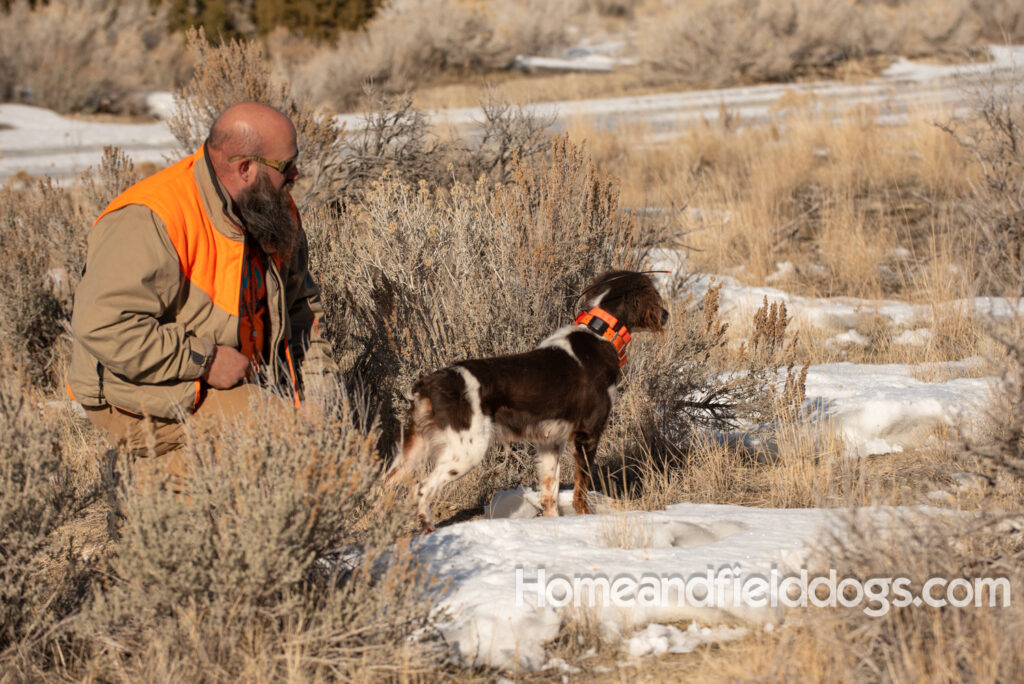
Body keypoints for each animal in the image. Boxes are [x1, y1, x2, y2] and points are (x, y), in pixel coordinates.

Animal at [382, 270, 663, 532]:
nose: (667, 315)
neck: (600, 333)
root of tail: (428, 383)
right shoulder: (588, 433)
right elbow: (580, 488)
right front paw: (584, 517)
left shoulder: (550, 442)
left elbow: (550, 493)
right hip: (466, 451)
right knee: (421, 488)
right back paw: (427, 526)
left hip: (414, 449)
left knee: (386, 484)